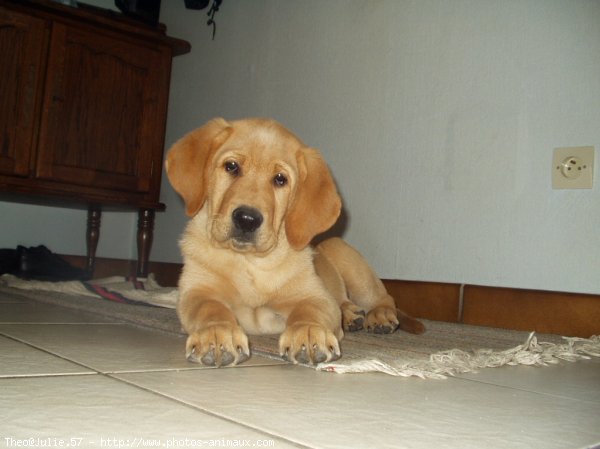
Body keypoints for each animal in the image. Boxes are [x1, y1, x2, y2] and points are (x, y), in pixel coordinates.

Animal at [166, 117, 424, 366]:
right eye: (231, 166)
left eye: (280, 179)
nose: (247, 219)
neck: (249, 263)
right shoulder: (196, 291)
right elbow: (210, 308)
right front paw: (217, 334)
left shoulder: (314, 295)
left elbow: (309, 312)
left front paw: (308, 333)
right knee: (344, 303)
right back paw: (352, 316)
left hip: (349, 261)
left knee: (384, 297)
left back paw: (379, 316)